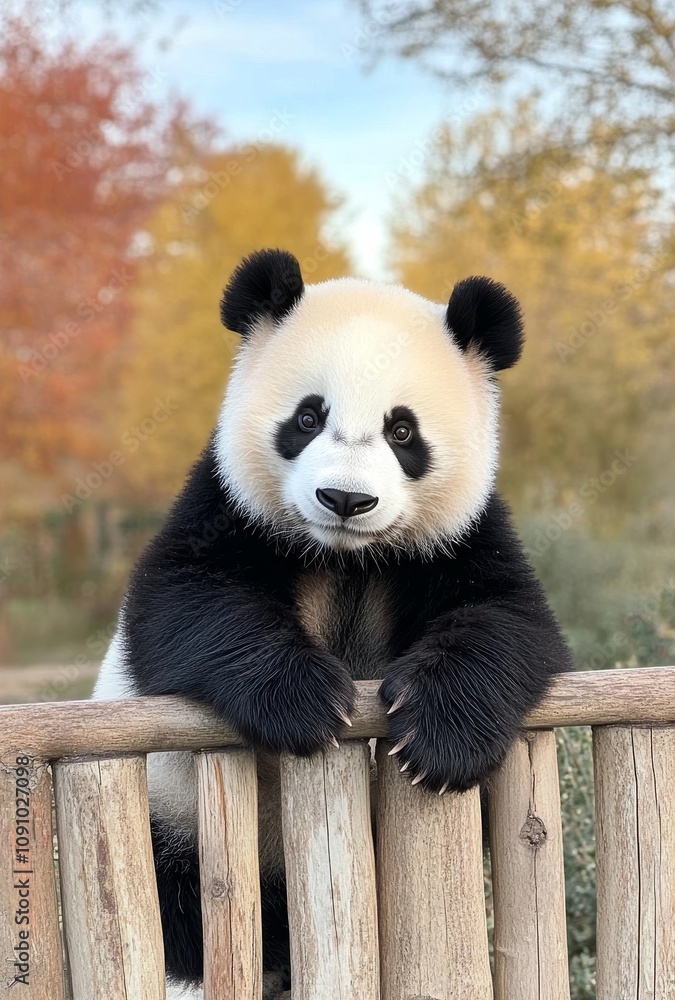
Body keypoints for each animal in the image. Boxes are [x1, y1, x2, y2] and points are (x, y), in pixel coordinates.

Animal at [93, 248, 572, 999]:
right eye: (307, 418)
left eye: (402, 431)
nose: (345, 498)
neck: (346, 557)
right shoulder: (225, 504)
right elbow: (186, 601)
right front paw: (308, 703)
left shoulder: (462, 535)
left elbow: (505, 619)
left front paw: (435, 739)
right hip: (170, 819)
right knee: (180, 909)